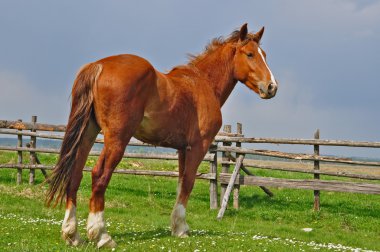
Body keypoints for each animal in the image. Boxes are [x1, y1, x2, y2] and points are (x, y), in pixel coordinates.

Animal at [46, 23, 280, 248]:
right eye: (250, 54)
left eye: (264, 54)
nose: (272, 87)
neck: (203, 83)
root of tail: (99, 66)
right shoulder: (198, 147)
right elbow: (188, 183)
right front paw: (181, 229)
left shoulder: (182, 149)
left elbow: (180, 183)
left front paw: (176, 226)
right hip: (117, 139)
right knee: (99, 175)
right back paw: (102, 235)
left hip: (87, 134)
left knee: (75, 174)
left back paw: (72, 235)